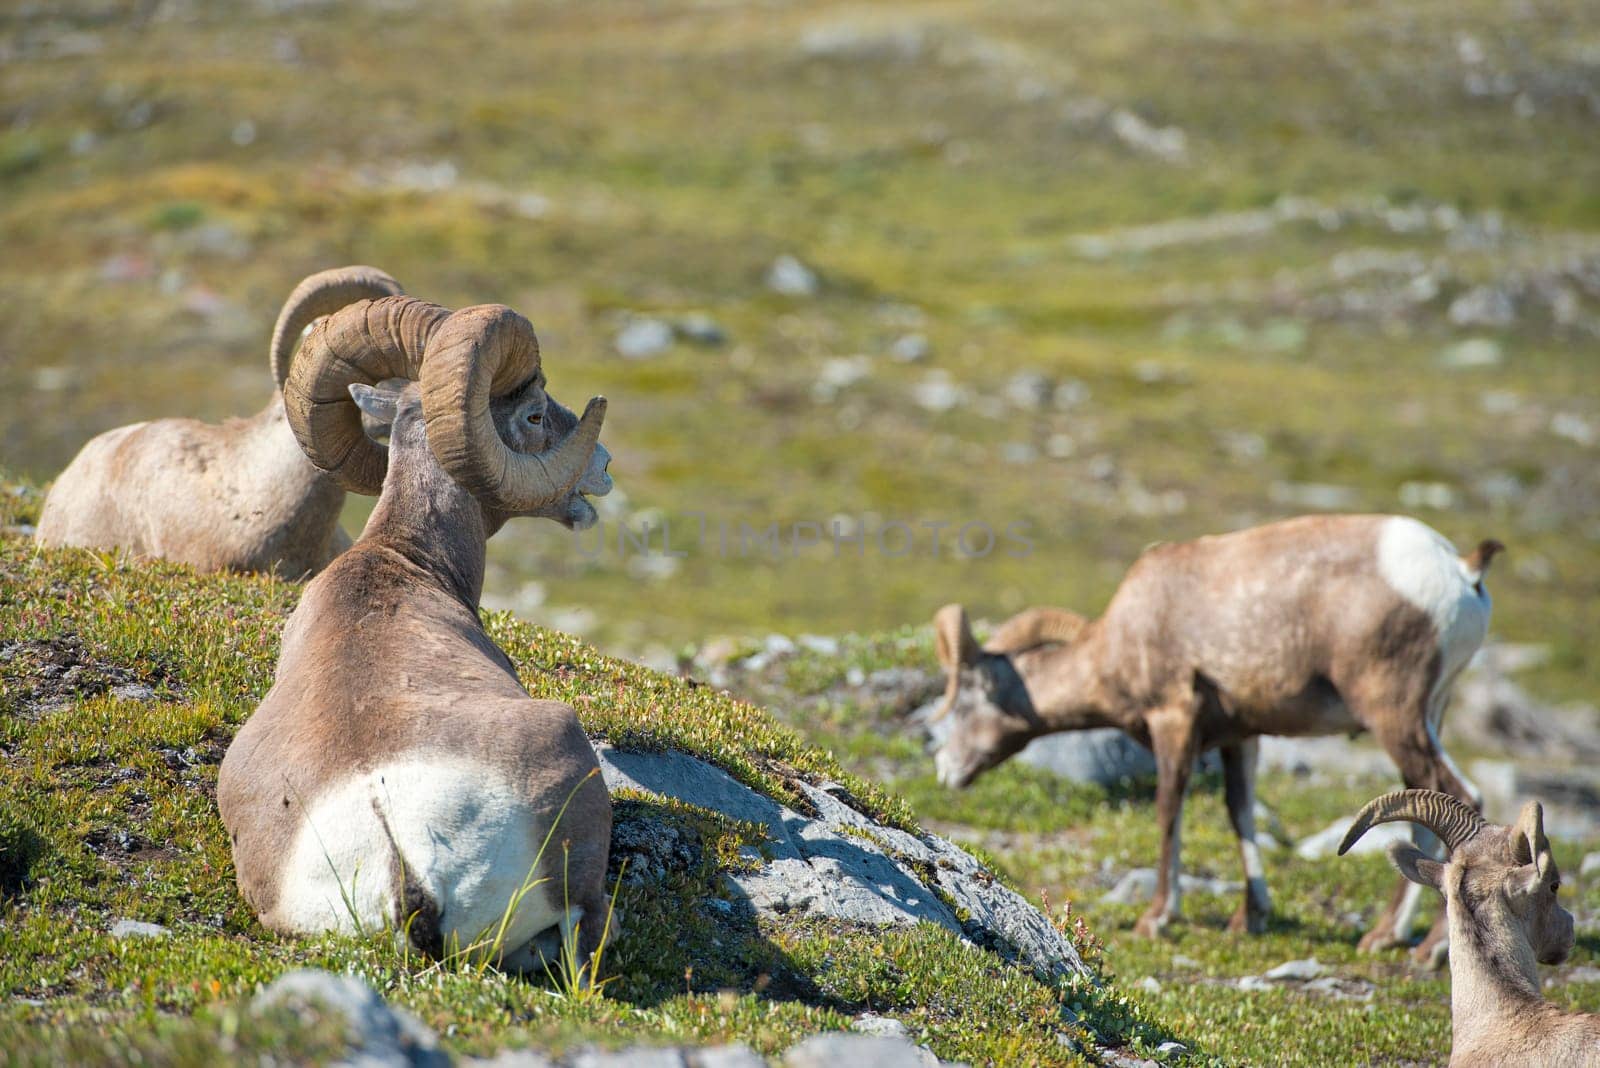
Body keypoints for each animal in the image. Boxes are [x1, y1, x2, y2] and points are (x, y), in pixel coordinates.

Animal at [928, 511, 1497, 965]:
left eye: (966, 699)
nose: (946, 769)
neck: (1127, 633)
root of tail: (1461, 570)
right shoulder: (1240, 736)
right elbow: (1238, 812)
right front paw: (1251, 918)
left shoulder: (1173, 719)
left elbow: (1168, 809)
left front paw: (1157, 918)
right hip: (1428, 715)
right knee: (1426, 803)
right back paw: (1384, 937)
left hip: (1393, 715)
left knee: (1462, 796)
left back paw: (1429, 949)